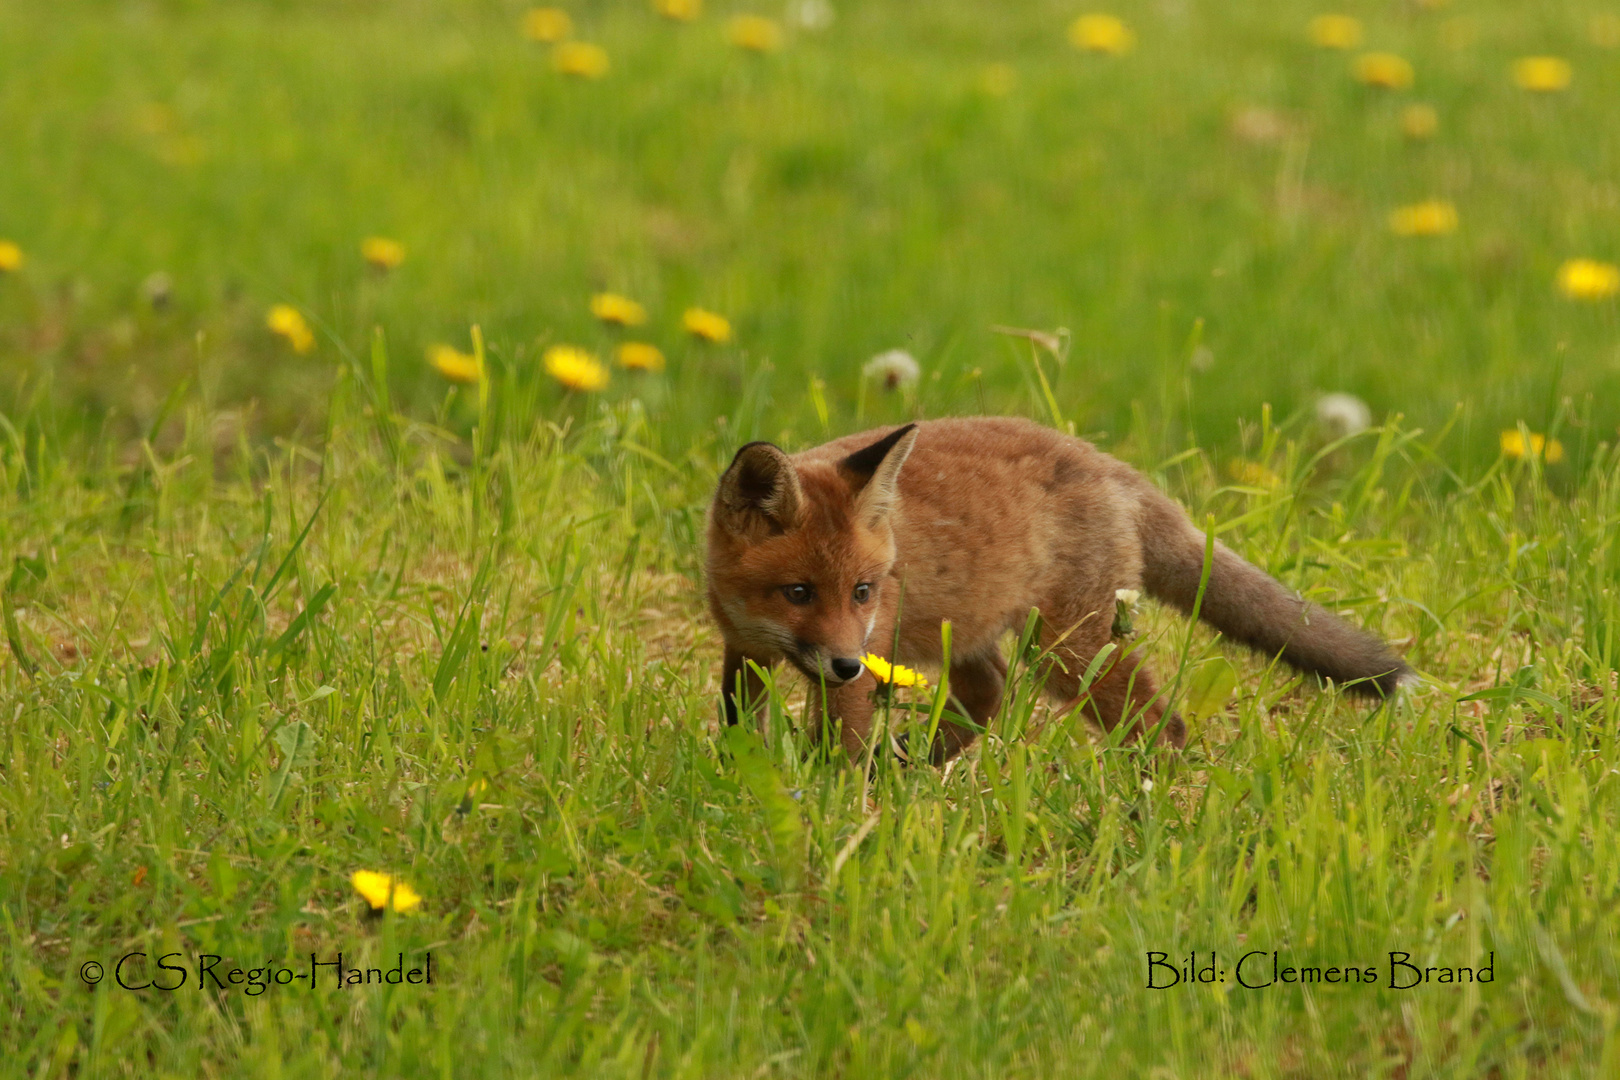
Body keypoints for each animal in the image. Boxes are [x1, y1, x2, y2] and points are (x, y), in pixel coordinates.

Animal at [703, 414, 1412, 761]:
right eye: (797, 592)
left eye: (862, 591)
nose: (849, 664)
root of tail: (1111, 465)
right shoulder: (746, 648)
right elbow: (739, 720)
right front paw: (740, 772)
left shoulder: (864, 658)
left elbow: (838, 751)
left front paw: (832, 805)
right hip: (983, 633)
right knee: (991, 690)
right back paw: (914, 761)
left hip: (1068, 651)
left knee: (1165, 726)